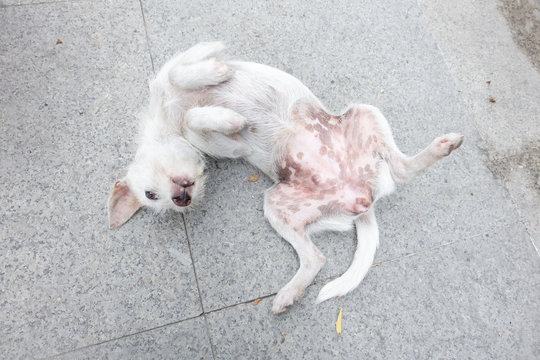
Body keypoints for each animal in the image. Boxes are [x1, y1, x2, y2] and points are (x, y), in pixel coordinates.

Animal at [107, 41, 462, 312]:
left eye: (150, 194)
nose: (181, 200)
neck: (167, 123)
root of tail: (360, 195)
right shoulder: (226, 146)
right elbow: (198, 119)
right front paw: (227, 118)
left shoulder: (180, 68)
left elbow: (182, 72)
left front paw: (216, 70)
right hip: (277, 206)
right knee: (317, 258)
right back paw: (288, 296)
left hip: (365, 111)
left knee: (403, 168)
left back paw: (444, 145)